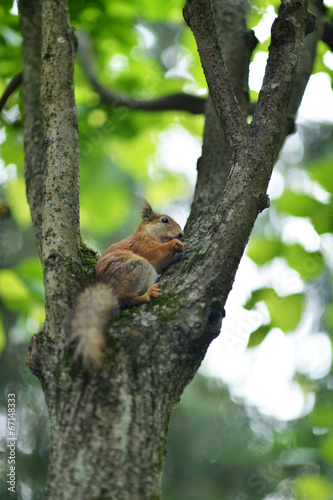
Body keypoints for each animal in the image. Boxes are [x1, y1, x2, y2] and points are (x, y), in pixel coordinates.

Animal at [69, 200, 185, 372]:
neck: (150, 234)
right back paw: (147, 294)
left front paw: (180, 247)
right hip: (136, 267)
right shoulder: (140, 243)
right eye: (164, 220)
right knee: (127, 299)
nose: (181, 234)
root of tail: (108, 289)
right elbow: (154, 252)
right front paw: (174, 243)